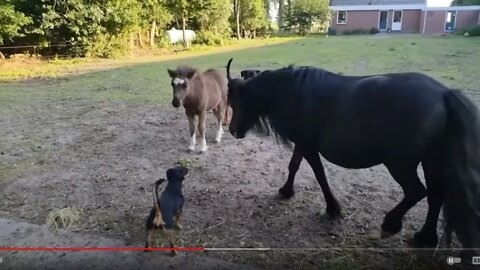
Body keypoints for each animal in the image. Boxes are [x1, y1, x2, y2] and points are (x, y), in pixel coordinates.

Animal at [225, 58, 480, 253]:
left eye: (235, 101)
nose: (232, 130)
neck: (292, 92)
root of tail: (444, 94)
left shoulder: (308, 146)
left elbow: (319, 175)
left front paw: (332, 208)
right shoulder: (303, 144)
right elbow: (294, 166)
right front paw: (287, 191)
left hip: (400, 163)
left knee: (417, 192)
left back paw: (391, 225)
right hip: (431, 160)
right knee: (436, 196)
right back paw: (425, 238)